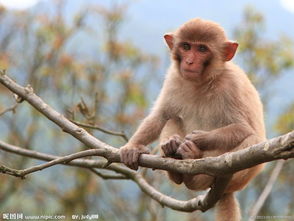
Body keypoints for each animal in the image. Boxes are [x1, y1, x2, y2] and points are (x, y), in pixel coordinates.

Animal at [119, 18, 264, 220]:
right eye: (186, 46)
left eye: (202, 49)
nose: (189, 61)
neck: (202, 82)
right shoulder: (173, 78)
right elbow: (160, 116)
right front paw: (133, 146)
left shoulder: (231, 85)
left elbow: (244, 129)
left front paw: (197, 139)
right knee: (172, 119)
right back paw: (173, 157)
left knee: (254, 140)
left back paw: (195, 165)